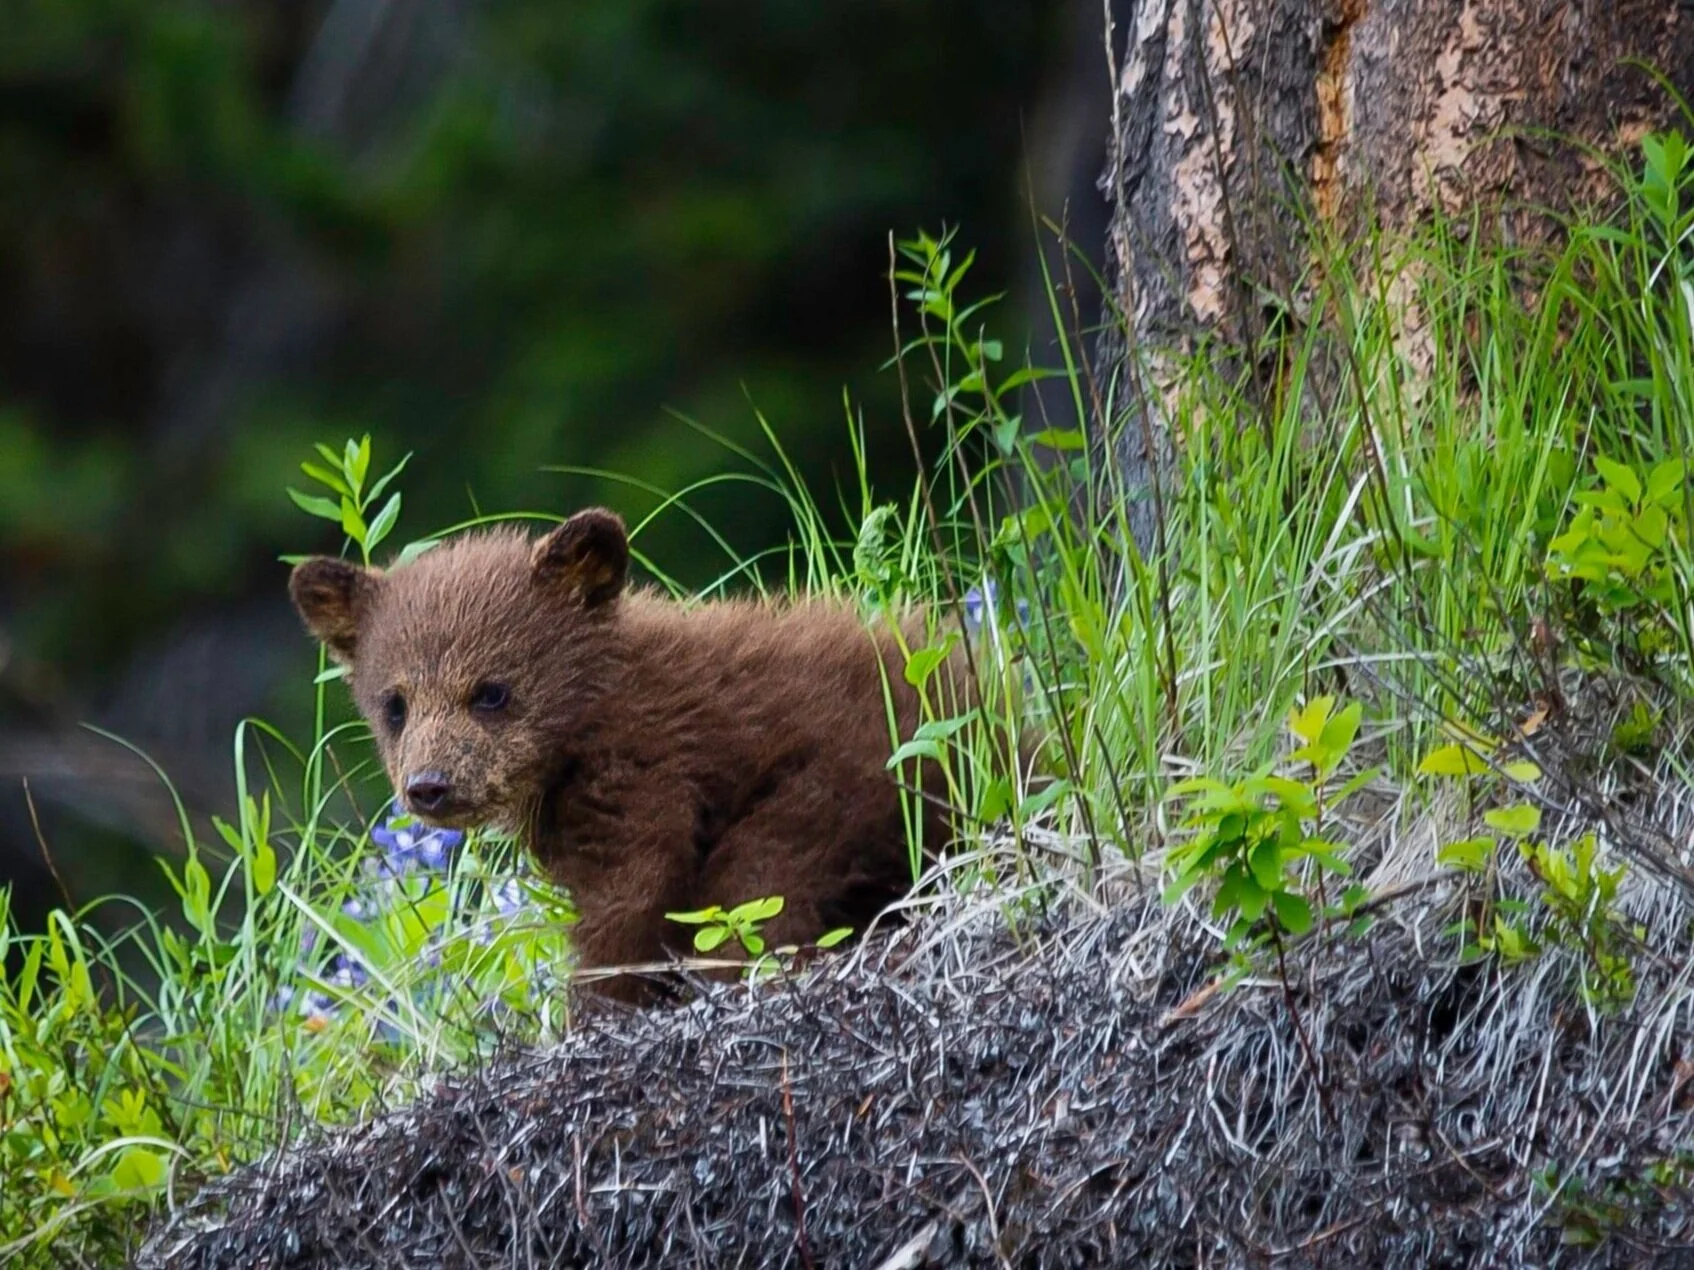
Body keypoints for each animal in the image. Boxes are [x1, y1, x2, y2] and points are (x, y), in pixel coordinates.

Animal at [288, 508, 967, 1003]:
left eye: (491, 691)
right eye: (394, 704)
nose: (430, 785)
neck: (591, 714)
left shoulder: (643, 767)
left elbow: (631, 895)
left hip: (843, 783)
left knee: (759, 885)